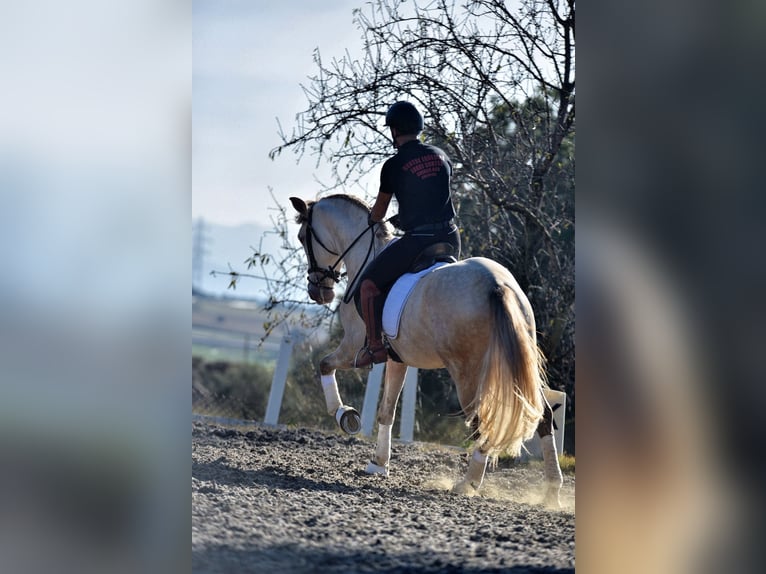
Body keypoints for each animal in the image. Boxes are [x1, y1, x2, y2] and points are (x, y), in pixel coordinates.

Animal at [289, 194, 563, 505]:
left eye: (302, 237)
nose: (318, 293)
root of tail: (496, 285)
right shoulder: (397, 360)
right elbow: (386, 411)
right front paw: (378, 464)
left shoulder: (352, 348)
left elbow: (324, 364)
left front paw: (345, 416)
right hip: (515, 363)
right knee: (543, 415)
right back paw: (552, 492)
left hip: (468, 373)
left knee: (482, 421)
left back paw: (467, 484)